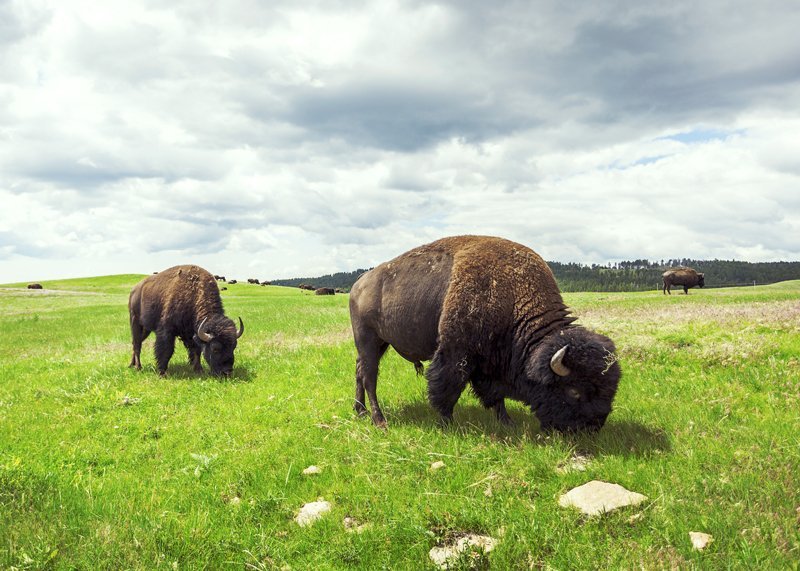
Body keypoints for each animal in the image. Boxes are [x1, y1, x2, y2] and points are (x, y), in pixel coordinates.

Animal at [348, 237, 620, 434]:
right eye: (574, 391)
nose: (593, 428)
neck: (513, 297)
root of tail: (358, 283)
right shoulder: (456, 354)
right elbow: (446, 388)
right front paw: (447, 424)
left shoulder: (488, 363)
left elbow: (494, 395)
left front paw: (507, 422)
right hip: (368, 340)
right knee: (370, 377)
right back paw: (379, 420)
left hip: (378, 344)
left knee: (360, 371)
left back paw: (360, 412)